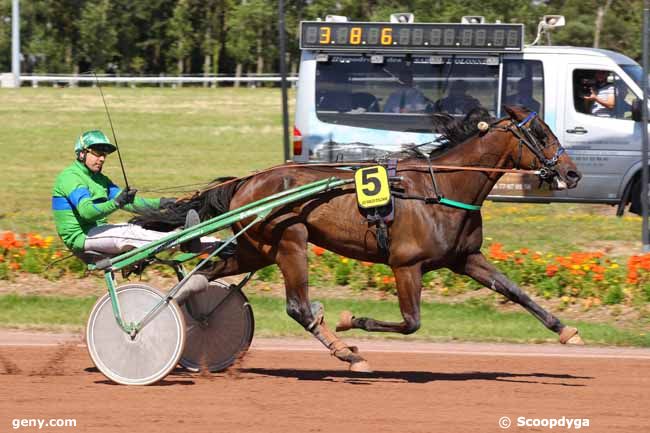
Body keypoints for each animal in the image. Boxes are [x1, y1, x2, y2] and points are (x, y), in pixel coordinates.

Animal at [138, 105, 584, 372]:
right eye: (542, 134)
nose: (573, 172)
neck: (441, 188)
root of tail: (245, 181)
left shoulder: (465, 258)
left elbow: (514, 291)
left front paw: (567, 331)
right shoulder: (406, 265)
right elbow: (411, 323)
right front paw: (349, 320)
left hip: (255, 250)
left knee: (201, 275)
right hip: (289, 241)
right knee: (297, 307)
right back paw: (347, 353)